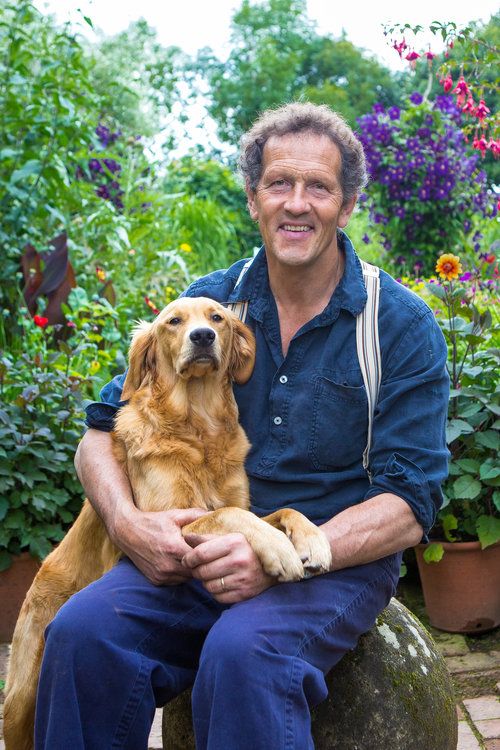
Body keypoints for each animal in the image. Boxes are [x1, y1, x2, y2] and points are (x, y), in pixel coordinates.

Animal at [4, 296, 332, 748]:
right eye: (174, 322)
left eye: (217, 318)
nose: (203, 337)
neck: (197, 424)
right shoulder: (169, 522)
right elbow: (227, 514)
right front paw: (279, 549)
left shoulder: (236, 505)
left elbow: (281, 511)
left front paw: (311, 539)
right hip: (20, 702)